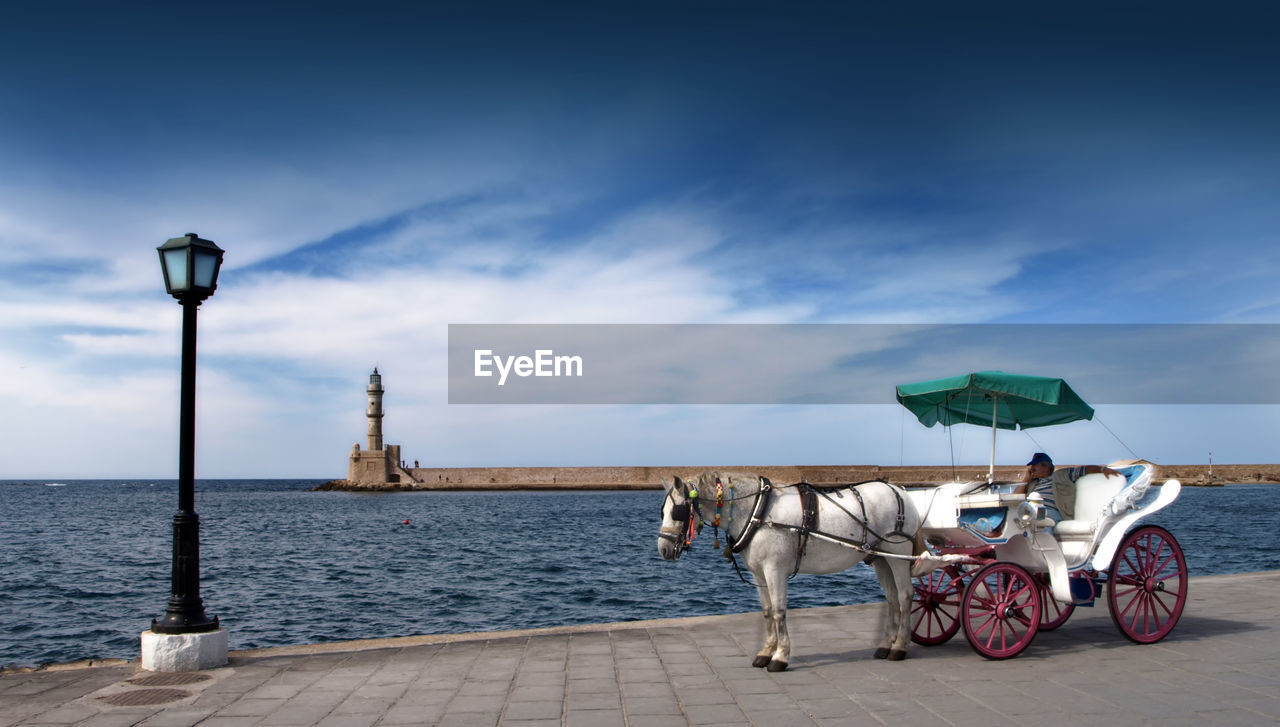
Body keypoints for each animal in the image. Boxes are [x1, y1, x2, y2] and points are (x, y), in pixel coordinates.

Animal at [660, 471, 921, 670]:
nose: (663, 549)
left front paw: (780, 656)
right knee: (892, 599)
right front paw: (765, 652)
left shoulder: (775, 570)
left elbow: (778, 611)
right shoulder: (759, 573)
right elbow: (766, 612)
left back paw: (899, 647)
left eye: (677, 512)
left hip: (898, 554)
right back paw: (886, 645)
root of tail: (899, 490)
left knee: (905, 595)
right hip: (881, 559)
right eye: (662, 512)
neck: (757, 513)